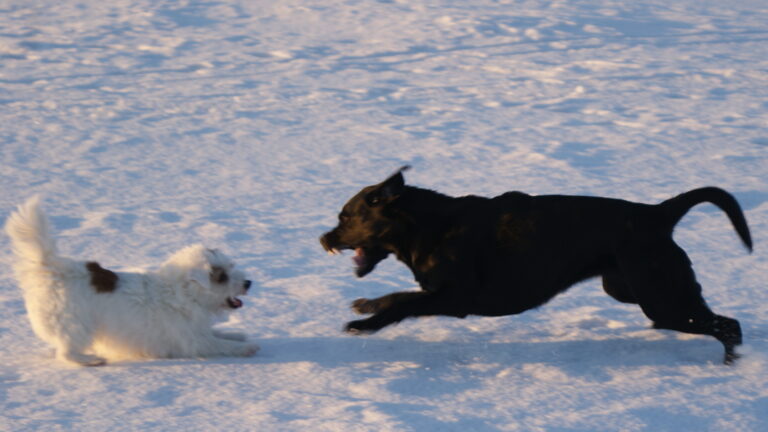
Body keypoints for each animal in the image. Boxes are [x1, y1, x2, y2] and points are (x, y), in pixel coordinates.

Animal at [4, 197, 260, 366]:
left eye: (231, 267)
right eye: (221, 277)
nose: (248, 282)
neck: (182, 293)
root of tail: (53, 266)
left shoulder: (197, 331)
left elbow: (219, 334)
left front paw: (237, 334)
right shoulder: (194, 341)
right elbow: (220, 345)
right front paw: (246, 347)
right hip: (76, 325)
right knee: (66, 352)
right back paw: (91, 360)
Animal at [316, 167, 752, 362]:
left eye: (345, 217)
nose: (323, 239)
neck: (429, 226)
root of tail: (657, 214)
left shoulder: (455, 297)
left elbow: (400, 301)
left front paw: (364, 318)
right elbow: (400, 297)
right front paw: (365, 306)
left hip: (662, 298)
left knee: (728, 325)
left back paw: (729, 363)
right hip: (629, 288)